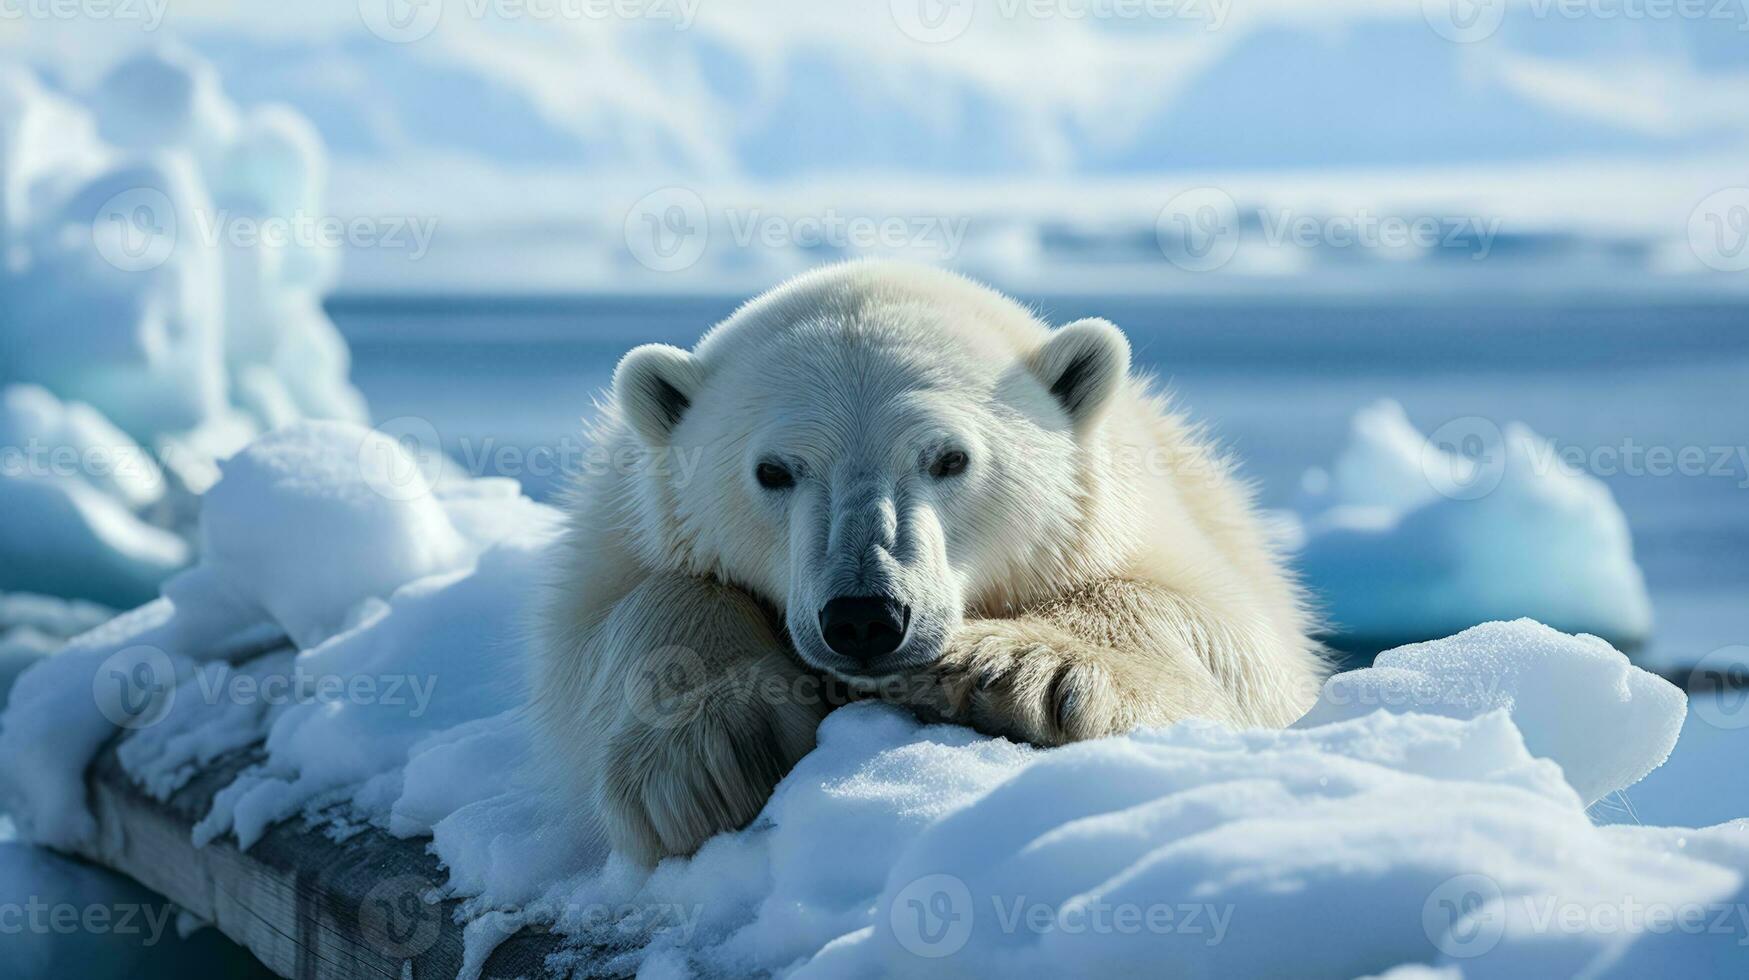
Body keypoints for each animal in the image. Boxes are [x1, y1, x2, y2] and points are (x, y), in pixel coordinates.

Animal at [531, 262, 1322, 864]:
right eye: (773, 471)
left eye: (949, 458)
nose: (864, 616)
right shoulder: (617, 533)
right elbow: (621, 617)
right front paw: (706, 757)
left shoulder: (1150, 521)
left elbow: (1226, 633)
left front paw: (1014, 671)